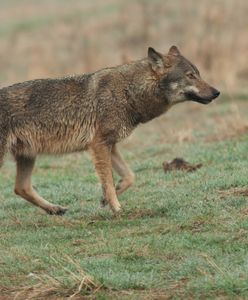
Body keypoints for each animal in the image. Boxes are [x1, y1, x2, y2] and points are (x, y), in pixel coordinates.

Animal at [0, 45, 220, 214]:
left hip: (28, 156)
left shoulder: (110, 145)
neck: (128, 92)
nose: (217, 92)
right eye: (190, 76)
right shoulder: (99, 144)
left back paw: (55, 209)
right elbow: (108, 180)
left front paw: (106, 199)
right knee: (19, 188)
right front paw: (117, 209)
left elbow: (129, 177)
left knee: (20, 188)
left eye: (198, 74)